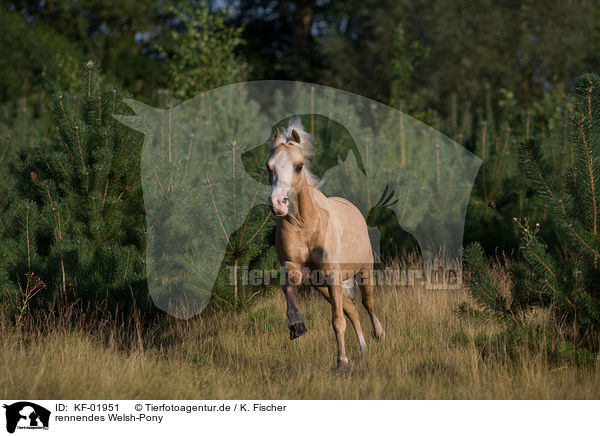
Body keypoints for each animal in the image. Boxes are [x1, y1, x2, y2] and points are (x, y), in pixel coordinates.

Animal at [268, 116, 384, 372]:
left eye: (299, 166)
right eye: (269, 167)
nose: (278, 204)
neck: (306, 224)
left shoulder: (333, 274)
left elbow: (337, 320)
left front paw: (342, 362)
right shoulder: (295, 269)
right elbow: (289, 296)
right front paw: (297, 327)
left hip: (364, 270)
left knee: (368, 303)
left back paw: (379, 334)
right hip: (321, 285)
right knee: (352, 310)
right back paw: (363, 349)